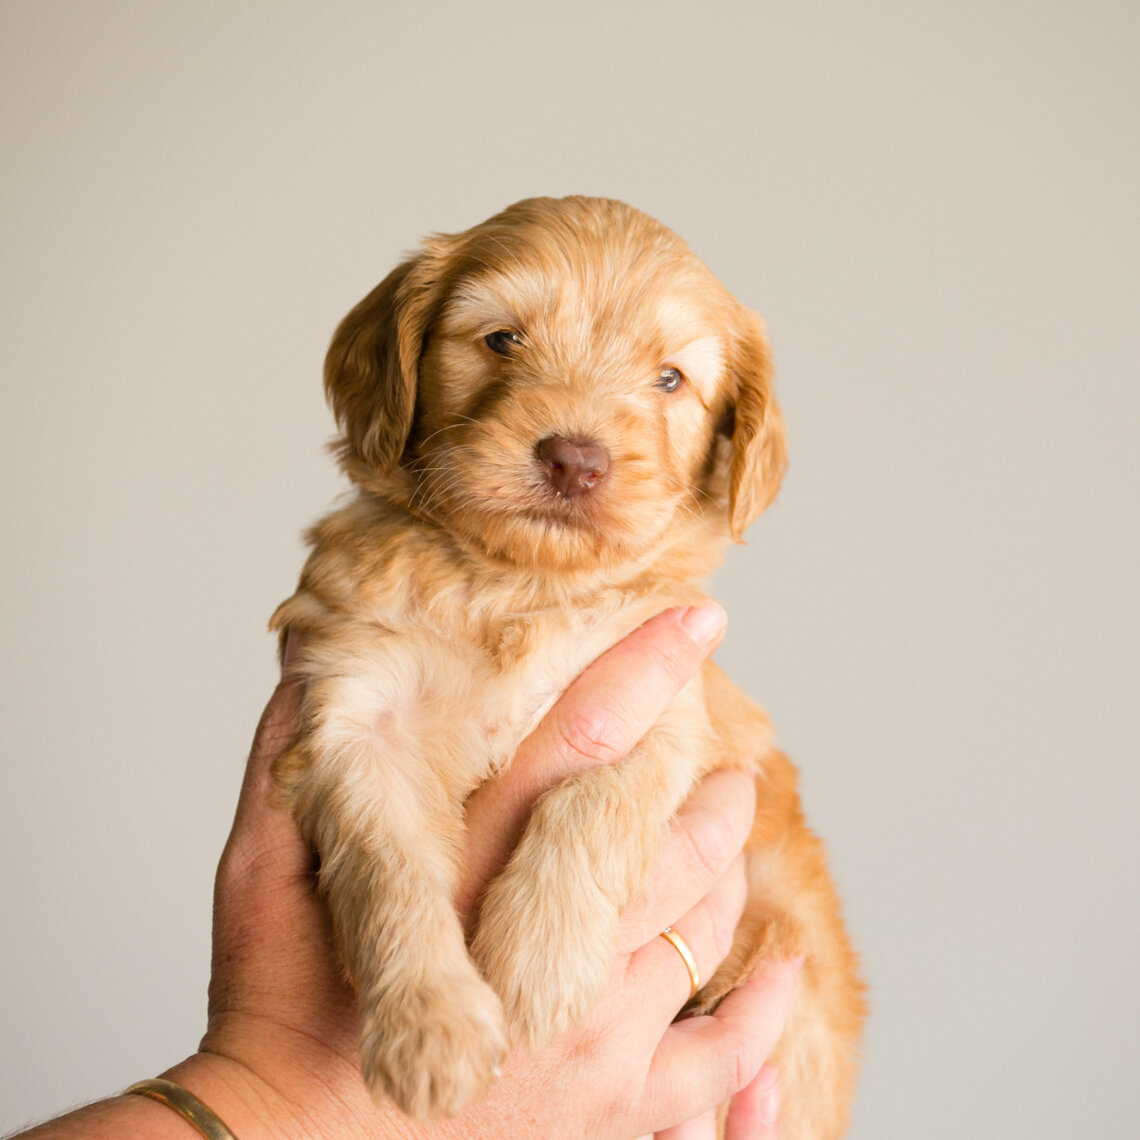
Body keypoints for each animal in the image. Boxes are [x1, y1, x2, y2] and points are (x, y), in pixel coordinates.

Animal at [273, 193, 861, 1130]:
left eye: (670, 381)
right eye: (502, 339)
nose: (574, 458)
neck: (513, 585)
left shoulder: (670, 708)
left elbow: (590, 803)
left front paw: (534, 967)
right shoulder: (356, 716)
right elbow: (388, 870)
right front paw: (432, 1029)